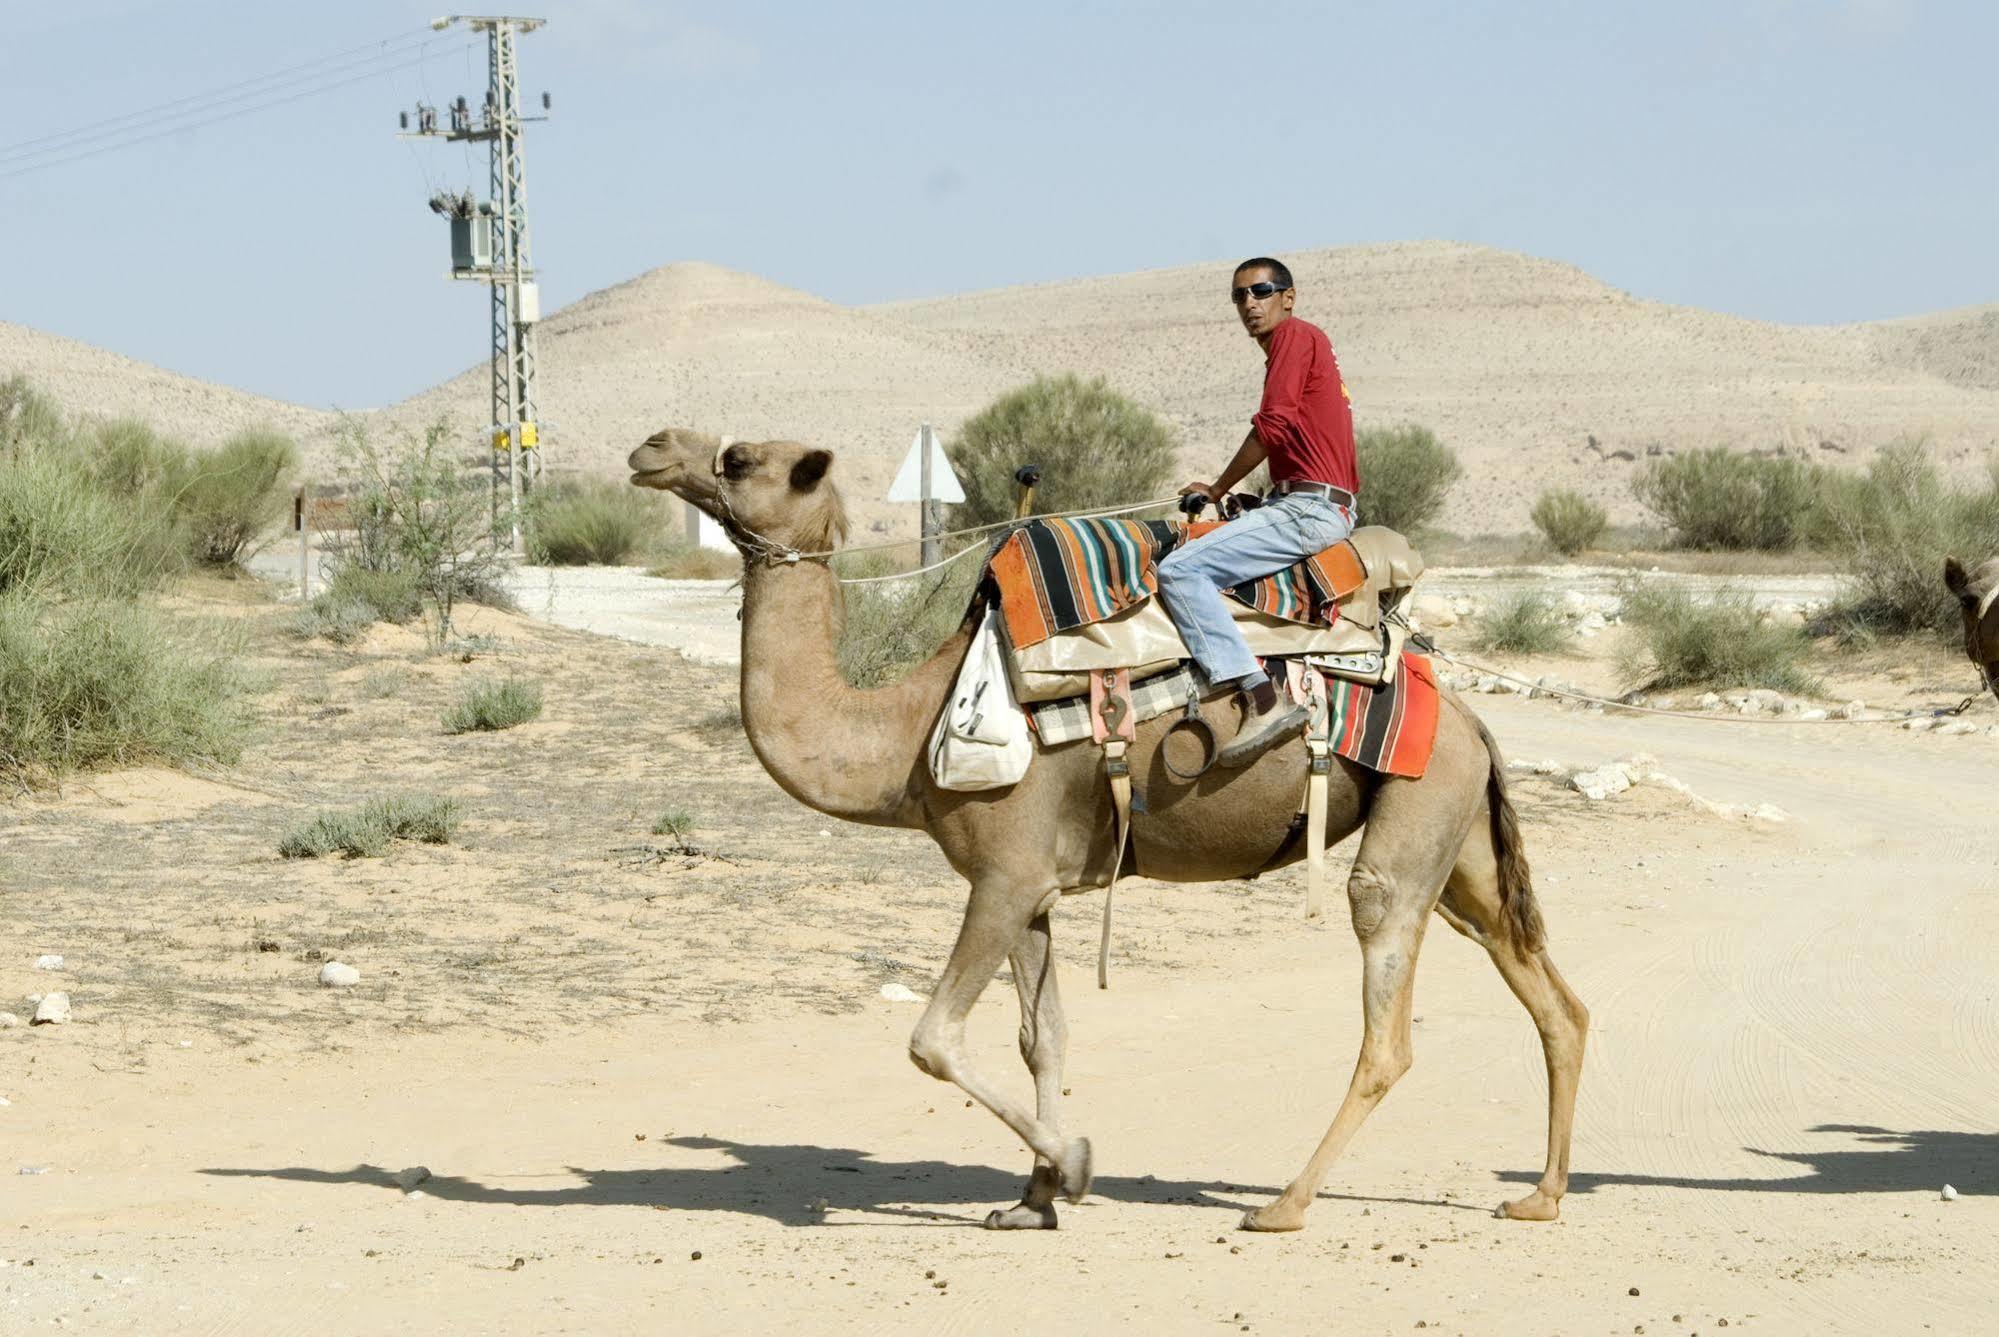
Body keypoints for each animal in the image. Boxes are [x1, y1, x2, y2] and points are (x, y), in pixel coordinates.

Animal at [631, 429, 1583, 1231]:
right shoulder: (1028, 886)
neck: (908, 729)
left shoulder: (1005, 876)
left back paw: (1283, 1204)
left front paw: (1077, 1163)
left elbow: (933, 1038)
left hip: (1415, 812)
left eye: (738, 459)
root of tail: (1467, 714)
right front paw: (1031, 1200)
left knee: (1385, 1007)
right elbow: (1041, 1038)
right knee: (1549, 994)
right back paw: (1537, 1196)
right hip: (1458, 839)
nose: (652, 448)